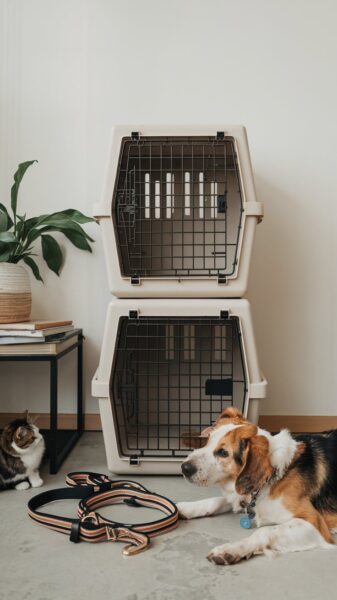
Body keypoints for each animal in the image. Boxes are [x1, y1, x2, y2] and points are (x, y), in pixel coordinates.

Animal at [176, 406, 336, 564]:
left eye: (223, 453)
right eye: (208, 439)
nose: (184, 468)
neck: (272, 479)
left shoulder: (313, 523)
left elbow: (263, 531)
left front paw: (231, 549)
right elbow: (217, 501)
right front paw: (183, 508)